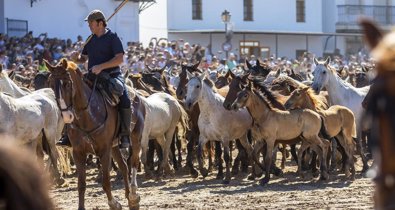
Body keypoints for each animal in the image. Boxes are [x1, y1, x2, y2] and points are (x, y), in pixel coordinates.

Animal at [45, 58, 140, 210]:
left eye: (67, 83)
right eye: (51, 84)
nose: (66, 116)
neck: (88, 115)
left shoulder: (104, 151)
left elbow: (106, 181)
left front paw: (113, 203)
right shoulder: (78, 152)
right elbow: (81, 184)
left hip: (136, 139)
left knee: (134, 162)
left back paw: (133, 196)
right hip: (114, 146)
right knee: (124, 167)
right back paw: (128, 197)